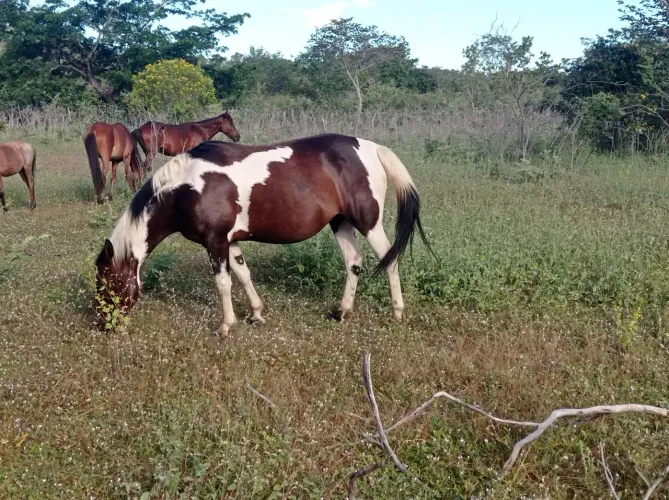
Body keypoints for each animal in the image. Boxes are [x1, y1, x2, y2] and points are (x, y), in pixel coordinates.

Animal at [93, 133, 432, 334]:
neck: (186, 187)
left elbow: (223, 283)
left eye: (106, 284)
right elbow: (244, 275)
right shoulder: (228, 241)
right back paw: (342, 312)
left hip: (368, 222)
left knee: (389, 260)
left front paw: (226, 326)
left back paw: (397, 312)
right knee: (354, 262)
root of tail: (372, 148)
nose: (105, 325)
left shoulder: (215, 242)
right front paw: (256, 314)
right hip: (340, 222)